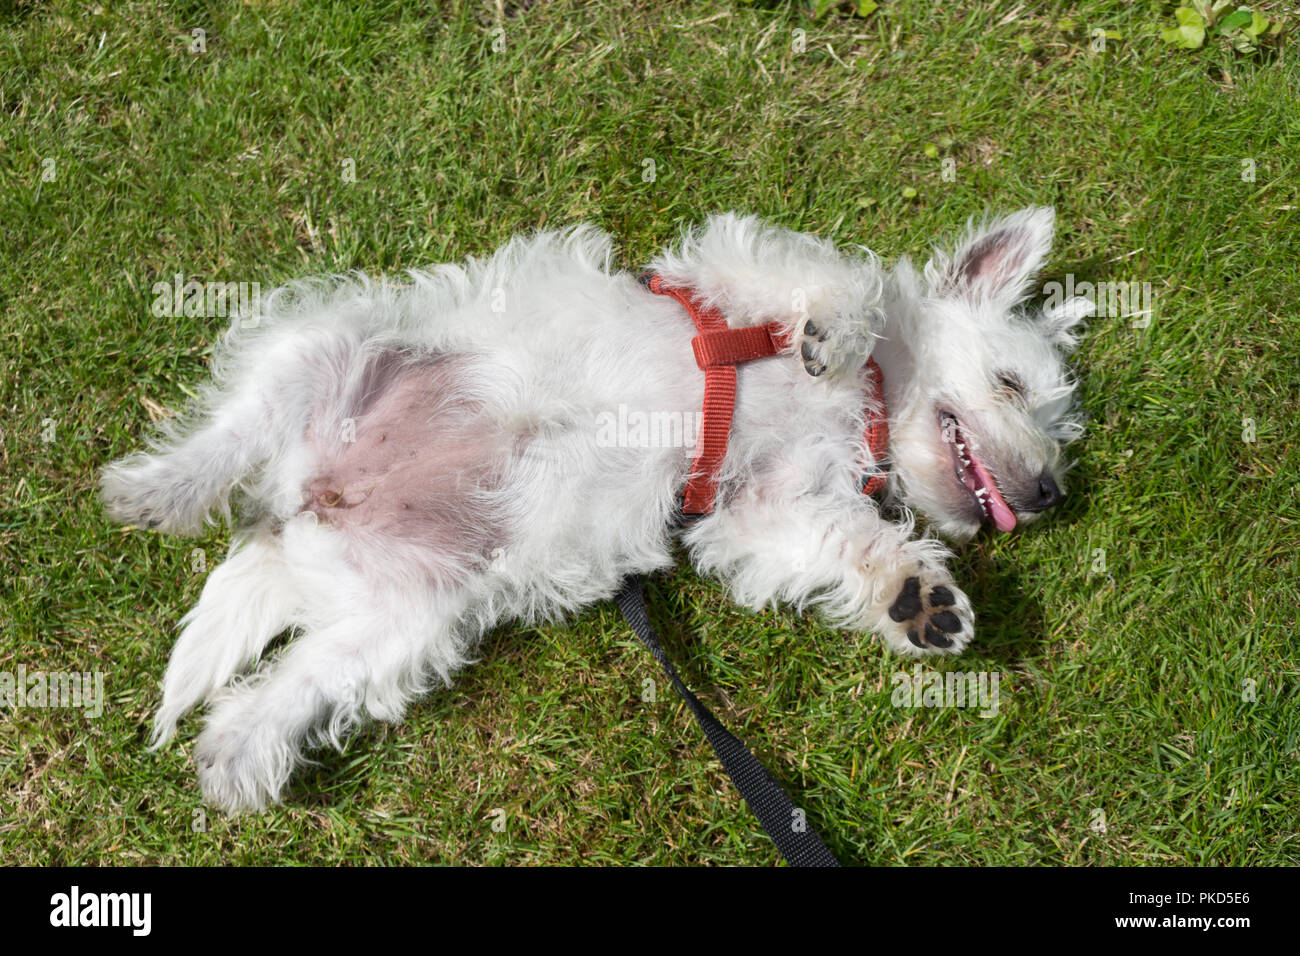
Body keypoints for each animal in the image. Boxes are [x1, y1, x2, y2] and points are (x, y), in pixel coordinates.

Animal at [106, 205, 1092, 811]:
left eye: (1058, 427)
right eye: (1011, 383)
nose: (1048, 493)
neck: (870, 402)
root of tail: (305, 513)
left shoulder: (761, 509)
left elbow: (843, 545)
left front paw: (917, 599)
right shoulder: (746, 269)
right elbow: (850, 290)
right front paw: (831, 335)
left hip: (405, 618)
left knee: (289, 688)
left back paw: (237, 755)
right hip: (322, 341)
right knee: (232, 429)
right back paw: (156, 490)